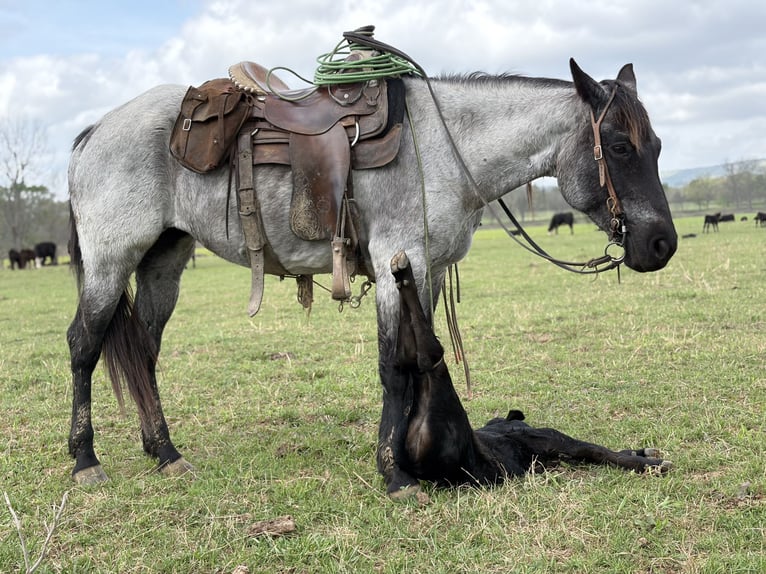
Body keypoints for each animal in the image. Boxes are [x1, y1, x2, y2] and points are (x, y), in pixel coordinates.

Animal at [389, 250, 669, 495]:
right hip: (446, 408)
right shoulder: (558, 440)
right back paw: (404, 271)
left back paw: (401, 274)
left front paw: (640, 453)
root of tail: (420, 465)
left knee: (407, 355)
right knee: (431, 354)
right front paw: (650, 464)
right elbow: (600, 451)